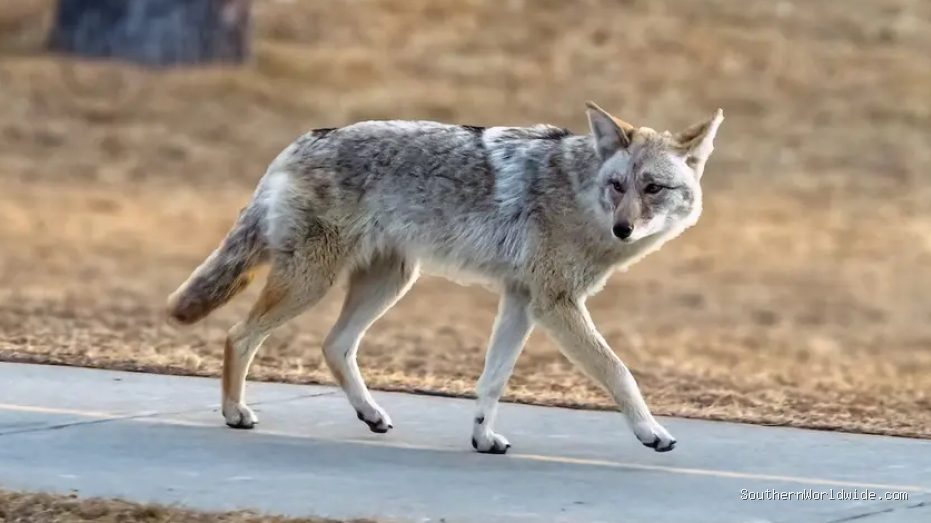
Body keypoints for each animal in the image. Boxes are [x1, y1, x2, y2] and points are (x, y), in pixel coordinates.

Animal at [167, 101, 723, 454]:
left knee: (333, 345)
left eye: (652, 188)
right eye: (618, 186)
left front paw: (482, 439)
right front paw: (652, 433)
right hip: (313, 283)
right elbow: (619, 372)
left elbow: (492, 382)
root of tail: (304, 139)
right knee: (239, 334)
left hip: (389, 283)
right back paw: (235, 413)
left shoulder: (521, 301)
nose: (622, 228)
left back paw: (371, 414)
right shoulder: (555, 304)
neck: (579, 194)